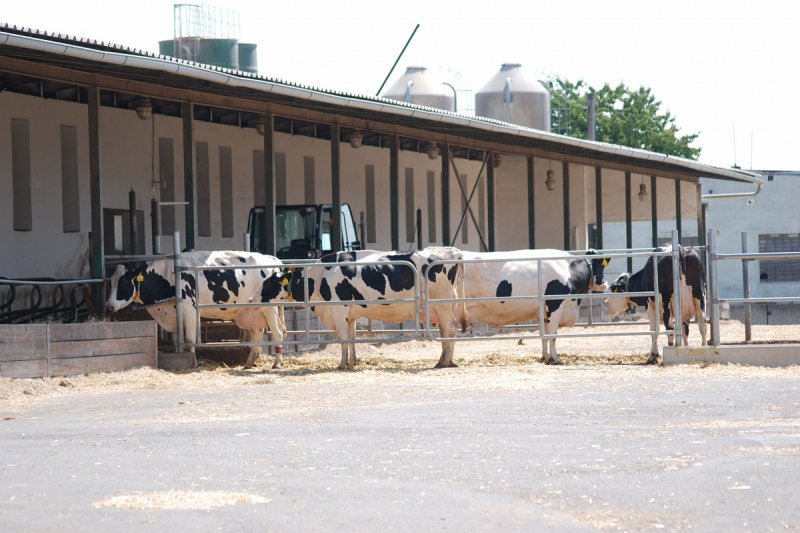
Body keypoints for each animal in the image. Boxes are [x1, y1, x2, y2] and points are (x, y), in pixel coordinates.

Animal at [105, 250, 288, 368]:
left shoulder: (189, 309)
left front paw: (192, 360)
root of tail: (273, 259)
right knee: (257, 333)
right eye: (110, 282)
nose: (109, 306)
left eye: (123, 283)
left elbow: (190, 338)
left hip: (269, 308)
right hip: (252, 310)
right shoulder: (173, 314)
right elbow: (176, 339)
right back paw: (249, 362)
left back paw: (277, 363)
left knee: (278, 332)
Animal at [282, 247, 466, 368]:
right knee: (445, 332)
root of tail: (452, 251)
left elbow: (343, 338)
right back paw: (444, 360)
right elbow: (352, 337)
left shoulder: (339, 309)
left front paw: (342, 364)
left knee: (450, 329)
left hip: (443, 305)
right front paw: (352, 362)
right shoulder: (350, 315)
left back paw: (444, 362)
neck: (320, 275)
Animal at [454, 249, 608, 366]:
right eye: (601, 266)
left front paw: (545, 357)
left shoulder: (544, 313)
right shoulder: (555, 306)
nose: (605, 283)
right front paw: (556, 359)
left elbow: (544, 336)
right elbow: (553, 336)